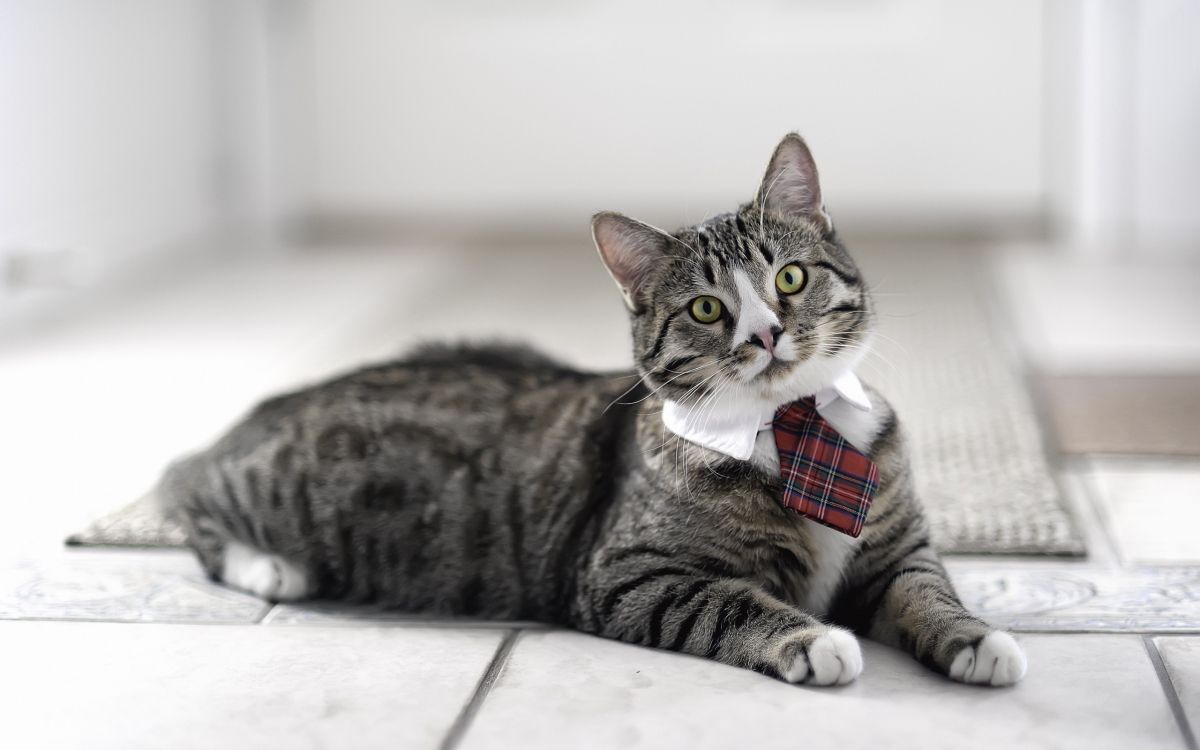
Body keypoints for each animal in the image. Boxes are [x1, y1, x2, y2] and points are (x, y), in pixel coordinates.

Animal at [157, 133, 1022, 686]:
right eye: (707, 309)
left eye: (790, 278)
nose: (766, 333)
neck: (794, 430)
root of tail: (271, 405)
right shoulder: (629, 572)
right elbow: (729, 602)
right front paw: (811, 639)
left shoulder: (896, 545)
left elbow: (926, 586)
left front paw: (977, 638)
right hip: (270, 486)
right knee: (186, 487)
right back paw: (268, 563)